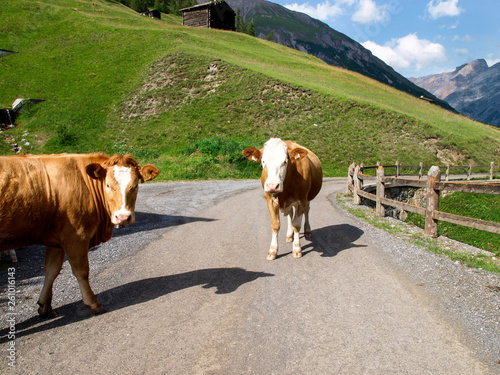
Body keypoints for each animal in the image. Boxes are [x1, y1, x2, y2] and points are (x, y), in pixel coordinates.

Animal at [0, 153, 159, 318]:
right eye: (108, 185)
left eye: (134, 186)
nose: (122, 217)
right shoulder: (75, 236)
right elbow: (81, 271)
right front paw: (93, 303)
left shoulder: (56, 241)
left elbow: (51, 270)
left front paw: (45, 306)